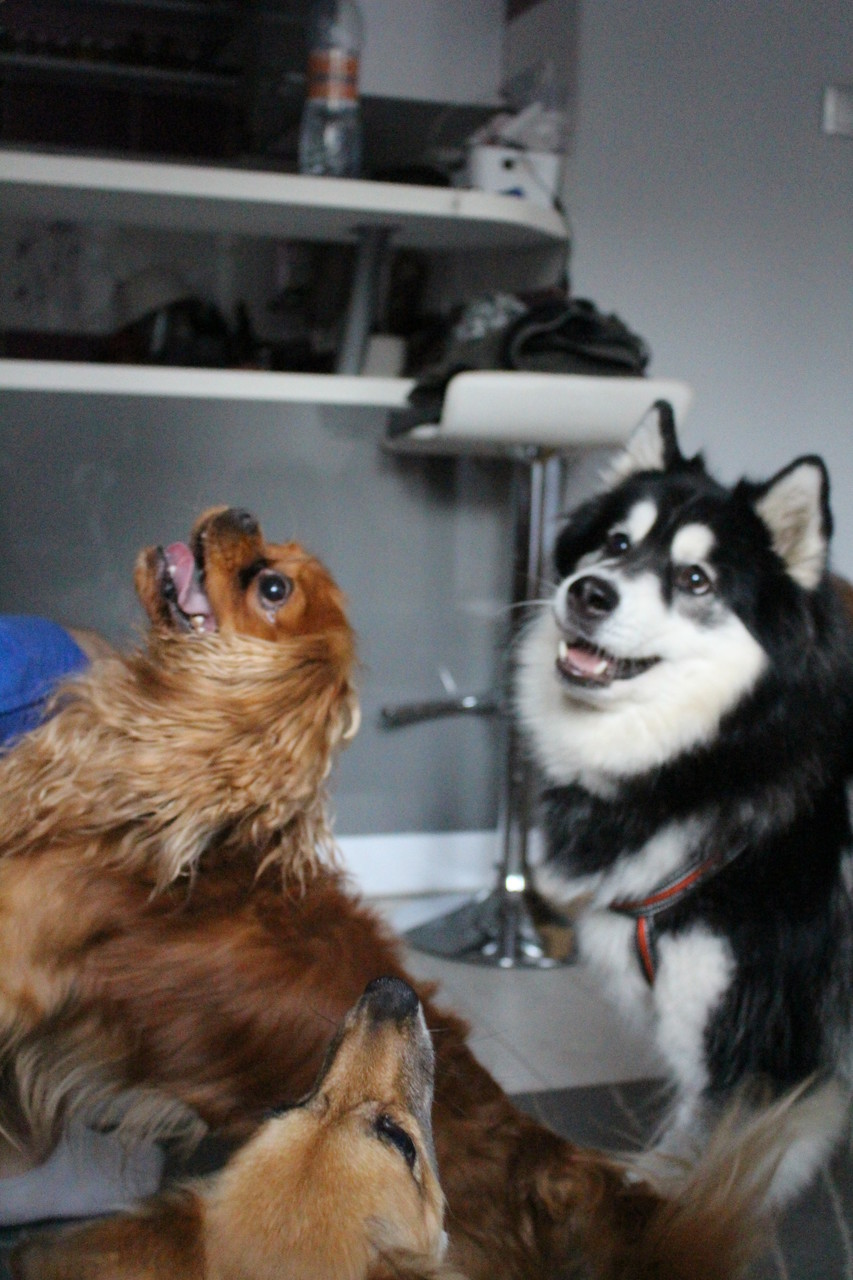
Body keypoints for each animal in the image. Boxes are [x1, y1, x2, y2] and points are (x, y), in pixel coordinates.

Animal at [515, 402, 853, 1200]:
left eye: (695, 578)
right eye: (616, 543)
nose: (589, 592)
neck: (723, 754)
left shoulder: (757, 1051)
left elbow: (693, 1179)